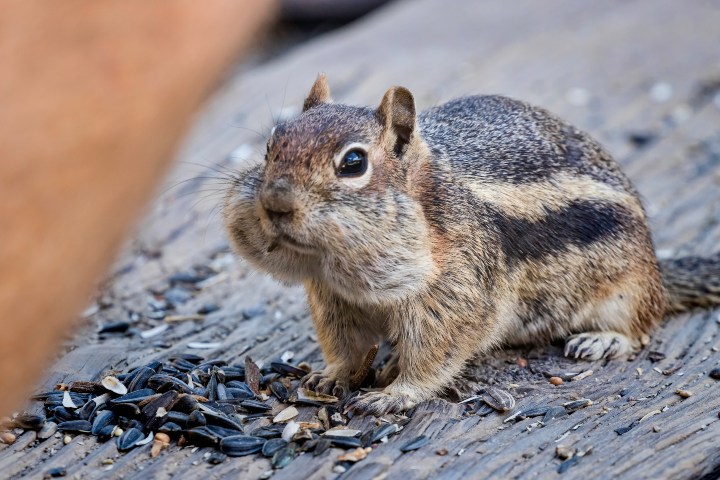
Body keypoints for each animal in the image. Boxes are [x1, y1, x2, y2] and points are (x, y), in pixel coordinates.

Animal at [223, 74, 720, 415]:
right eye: (271, 144)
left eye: (353, 163)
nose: (275, 204)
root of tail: (657, 268)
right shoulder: (332, 301)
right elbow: (345, 347)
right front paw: (333, 377)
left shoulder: (454, 292)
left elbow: (434, 354)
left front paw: (393, 395)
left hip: (628, 286)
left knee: (642, 323)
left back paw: (603, 340)